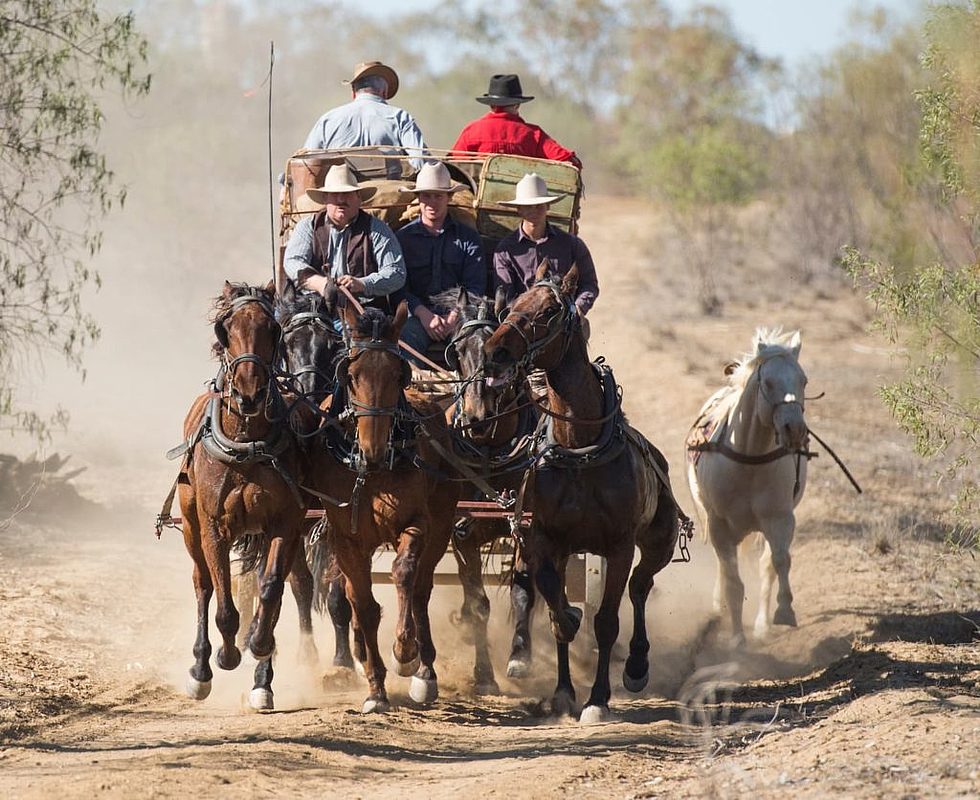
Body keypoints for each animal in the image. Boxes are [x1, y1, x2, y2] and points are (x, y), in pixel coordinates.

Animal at [177, 284, 306, 708]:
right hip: (190, 526)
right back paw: (201, 668)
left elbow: (271, 590)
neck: (247, 441)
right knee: (202, 583)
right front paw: (227, 654)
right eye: (226, 328)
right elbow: (224, 604)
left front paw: (259, 647)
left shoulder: (286, 524)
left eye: (272, 327)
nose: (249, 393)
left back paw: (262, 680)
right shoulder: (214, 527)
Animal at [306, 300, 460, 712]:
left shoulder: (417, 523)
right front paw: (375, 688)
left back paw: (425, 671)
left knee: (421, 588)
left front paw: (404, 652)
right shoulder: (346, 539)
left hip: (442, 525)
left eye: (397, 374)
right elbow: (363, 604)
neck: (371, 470)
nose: (373, 449)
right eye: (351, 374)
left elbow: (404, 574)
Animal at [482, 268, 680, 724]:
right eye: (511, 304)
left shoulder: (619, 546)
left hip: (659, 540)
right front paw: (563, 692)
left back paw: (638, 665)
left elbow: (606, 621)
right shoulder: (543, 540)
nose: (494, 351)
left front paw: (597, 699)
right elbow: (556, 610)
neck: (579, 449)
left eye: (549, 310)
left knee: (641, 586)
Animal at [684, 328, 808, 648]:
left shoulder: (780, 519)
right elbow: (733, 581)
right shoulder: (718, 524)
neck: (749, 459)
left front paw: (783, 612)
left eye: (803, 380)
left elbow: (778, 562)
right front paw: (738, 637)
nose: (794, 429)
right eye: (768, 382)